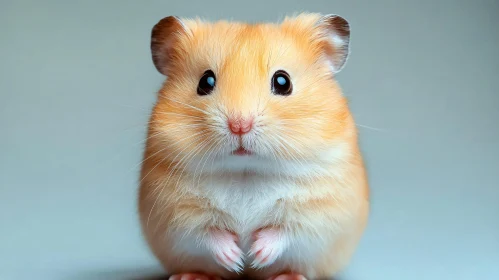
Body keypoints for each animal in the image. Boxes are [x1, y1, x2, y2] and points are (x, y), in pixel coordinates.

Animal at [139, 12, 370, 280]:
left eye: (283, 81)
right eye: (205, 81)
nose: (240, 125)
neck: (246, 171)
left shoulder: (318, 209)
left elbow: (285, 230)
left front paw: (257, 254)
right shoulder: (176, 211)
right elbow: (207, 231)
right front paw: (236, 259)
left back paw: (287, 276)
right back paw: (193, 276)